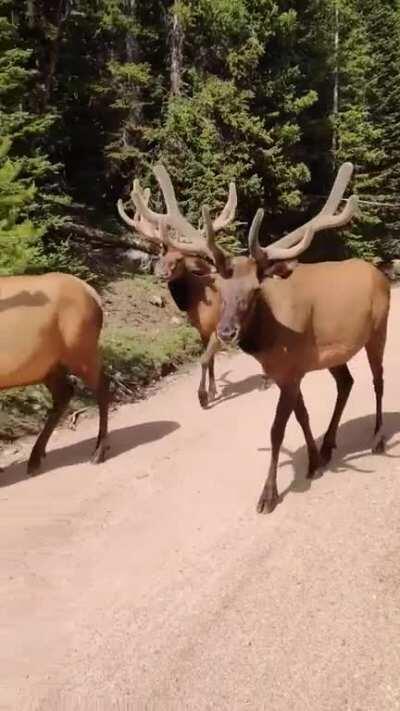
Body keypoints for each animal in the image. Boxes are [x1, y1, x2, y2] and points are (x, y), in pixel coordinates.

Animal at [0, 273, 109, 475]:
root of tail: (92, 293)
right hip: (50, 367)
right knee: (65, 393)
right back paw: (35, 457)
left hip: (81, 350)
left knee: (102, 386)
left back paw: (98, 452)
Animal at [117, 165, 237, 407]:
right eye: (163, 252)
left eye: (180, 259)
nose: (161, 272)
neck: (199, 301)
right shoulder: (202, 330)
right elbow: (210, 361)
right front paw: (212, 391)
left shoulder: (216, 329)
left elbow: (204, 360)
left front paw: (202, 396)